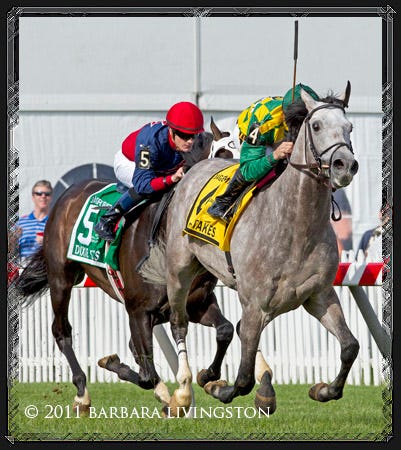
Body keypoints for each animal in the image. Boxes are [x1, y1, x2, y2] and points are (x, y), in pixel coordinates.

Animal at [13, 120, 238, 415]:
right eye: (220, 157)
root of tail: (67, 194)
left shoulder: (196, 304)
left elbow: (225, 330)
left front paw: (207, 379)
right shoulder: (139, 311)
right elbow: (148, 375)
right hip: (61, 278)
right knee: (61, 331)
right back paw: (82, 393)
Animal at [140, 83, 360, 415]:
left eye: (349, 127)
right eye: (317, 126)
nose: (345, 165)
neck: (297, 227)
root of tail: (195, 168)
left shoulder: (319, 295)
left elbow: (350, 347)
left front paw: (323, 389)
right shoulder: (256, 304)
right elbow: (243, 379)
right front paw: (219, 388)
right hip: (179, 271)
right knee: (179, 324)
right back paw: (184, 388)